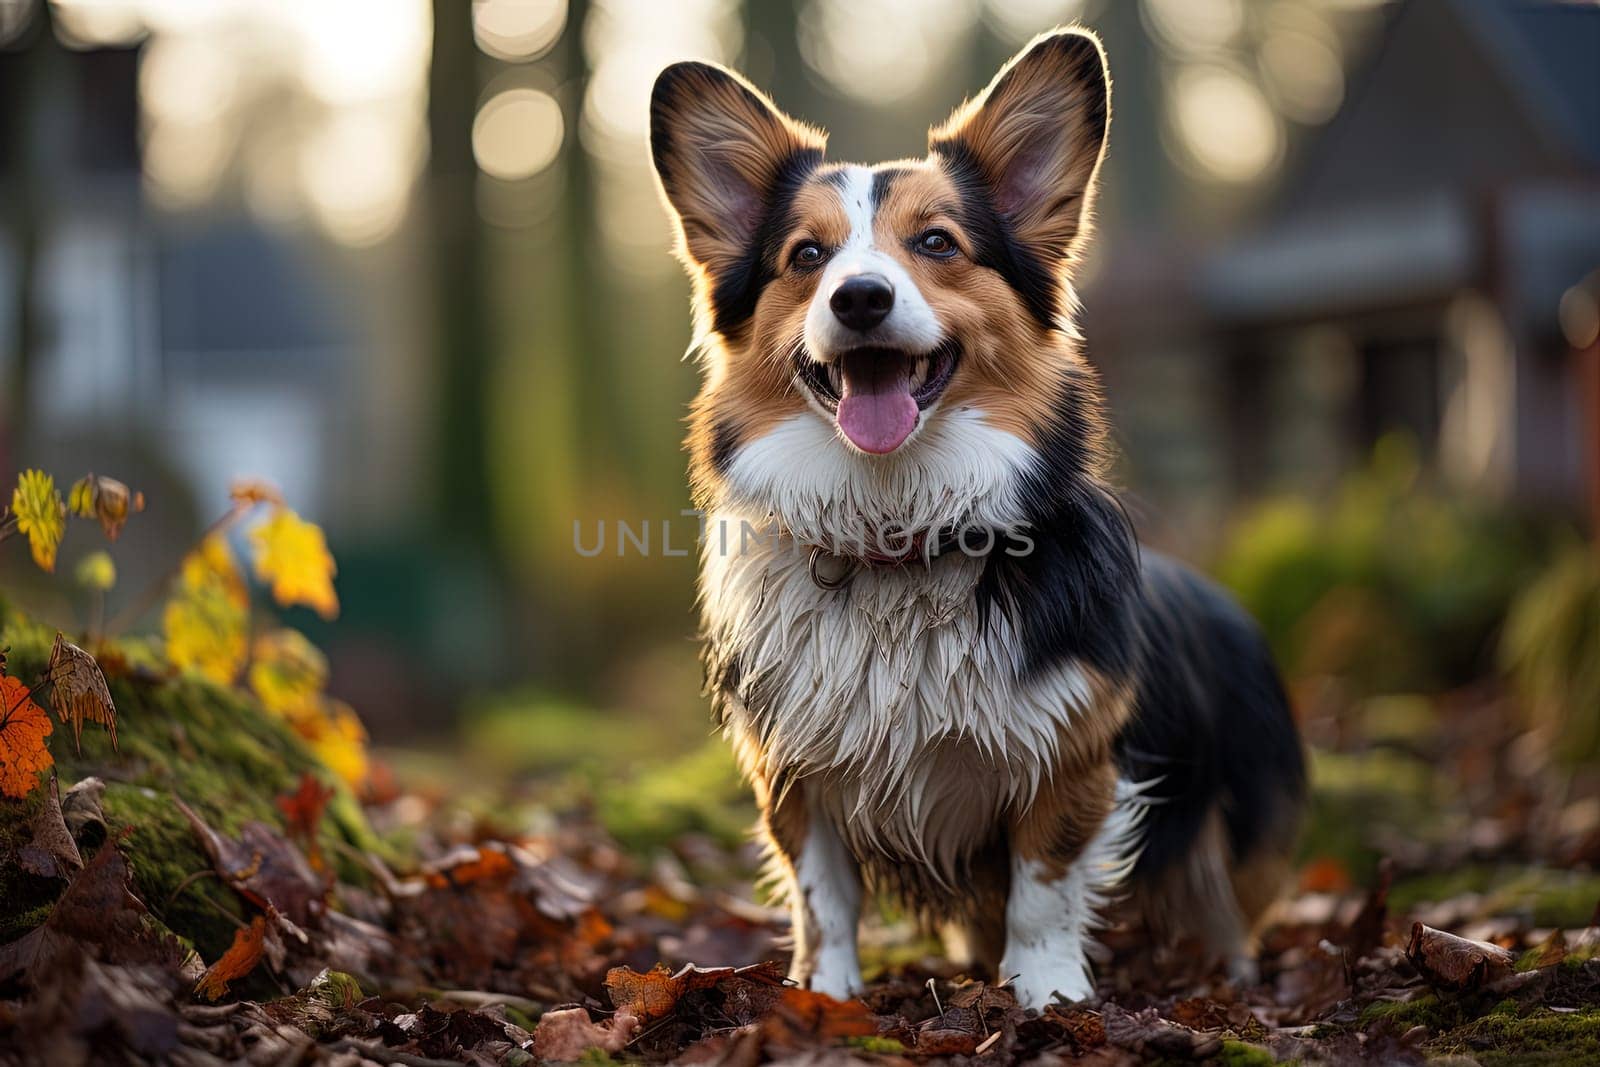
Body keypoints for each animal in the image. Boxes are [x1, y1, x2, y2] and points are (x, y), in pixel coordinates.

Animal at [646, 27, 1299, 1011]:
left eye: (936, 242)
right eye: (807, 257)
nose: (860, 298)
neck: (897, 532)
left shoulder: (1071, 756)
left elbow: (1043, 887)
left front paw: (1047, 992)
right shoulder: (793, 773)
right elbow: (821, 896)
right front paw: (825, 994)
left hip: (1242, 825)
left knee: (1224, 903)